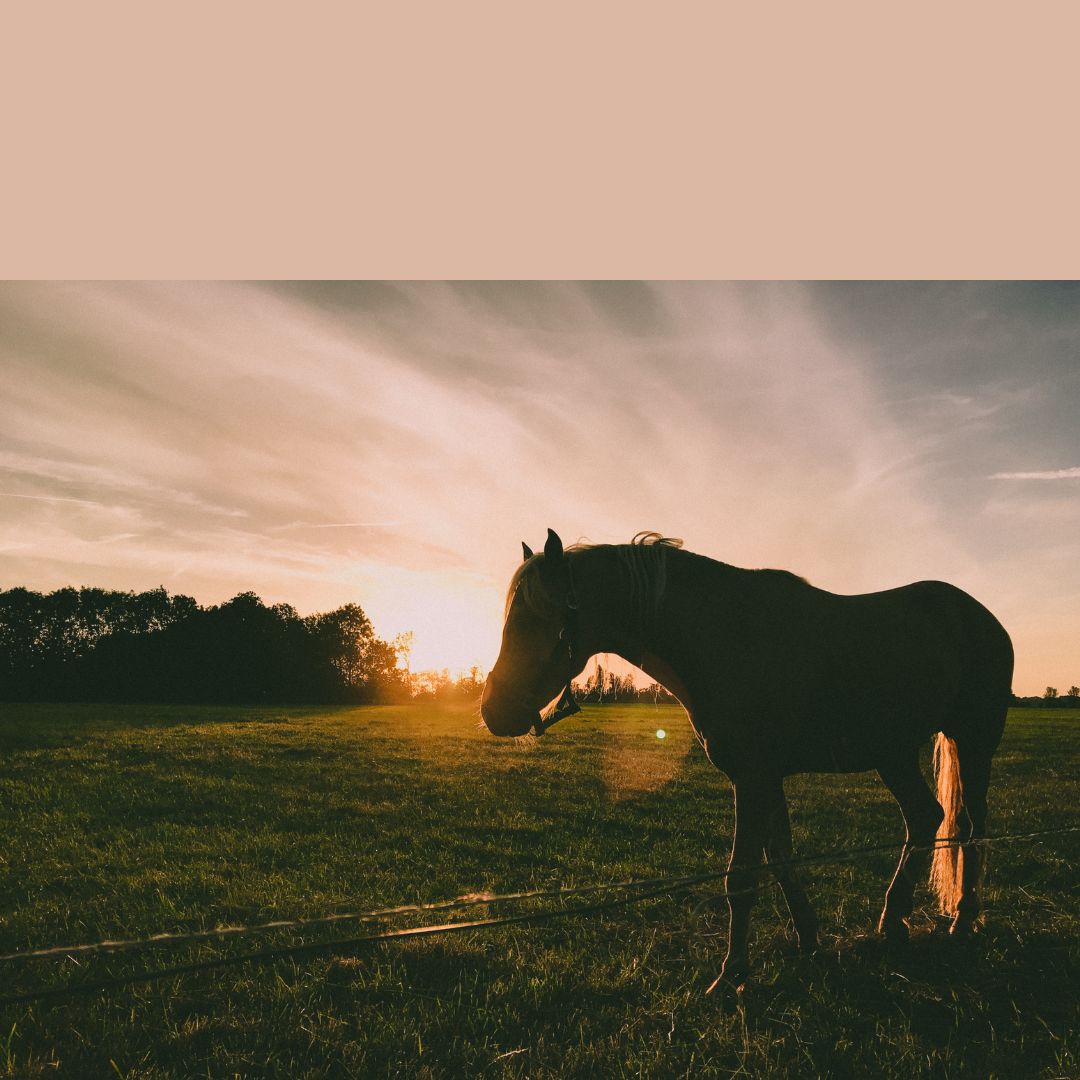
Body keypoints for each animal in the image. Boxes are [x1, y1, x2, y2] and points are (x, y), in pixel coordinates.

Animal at [481, 529, 1010, 989]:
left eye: (532, 618)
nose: (492, 710)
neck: (728, 636)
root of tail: (981, 617)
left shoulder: (752, 780)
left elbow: (741, 878)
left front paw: (732, 974)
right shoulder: (767, 780)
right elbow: (781, 861)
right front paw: (809, 940)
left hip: (971, 742)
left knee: (970, 825)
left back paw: (962, 919)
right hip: (893, 753)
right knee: (925, 817)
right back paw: (895, 920)